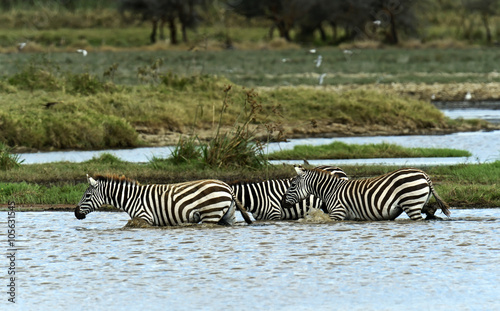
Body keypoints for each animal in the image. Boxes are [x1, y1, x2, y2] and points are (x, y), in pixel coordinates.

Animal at [73, 176, 254, 227]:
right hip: (228, 214)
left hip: (211, 213)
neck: (131, 198)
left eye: (87, 196)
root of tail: (227, 186)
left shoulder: (144, 217)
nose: (75, 213)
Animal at [284, 166, 452, 222]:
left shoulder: (337, 213)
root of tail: (424, 174)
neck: (330, 190)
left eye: (292, 185)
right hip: (419, 202)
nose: (283, 203)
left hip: (411, 204)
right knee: (430, 211)